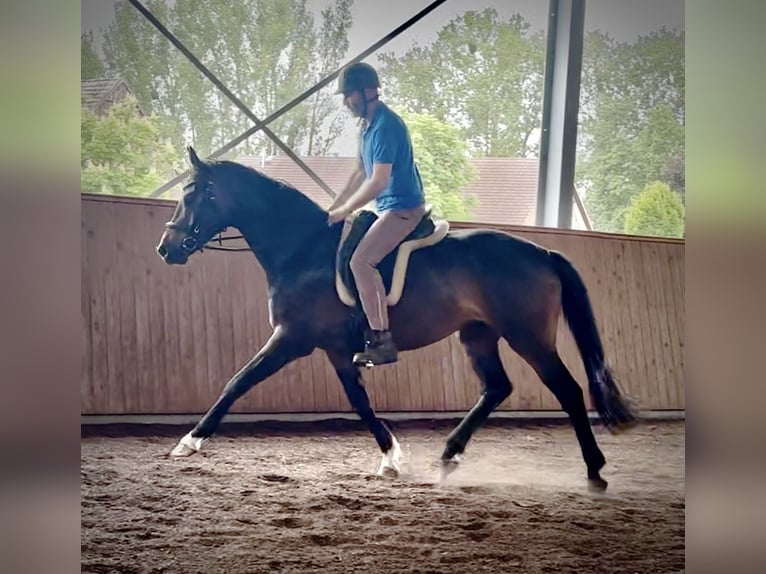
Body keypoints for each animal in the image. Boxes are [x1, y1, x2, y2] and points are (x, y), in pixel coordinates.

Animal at [156, 146, 637, 491]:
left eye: (194, 194)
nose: (166, 249)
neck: (302, 248)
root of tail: (542, 252)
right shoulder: (335, 349)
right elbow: (359, 401)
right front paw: (391, 458)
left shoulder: (293, 338)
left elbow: (239, 381)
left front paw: (189, 442)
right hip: (478, 335)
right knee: (497, 388)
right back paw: (448, 455)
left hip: (528, 337)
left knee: (568, 391)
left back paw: (594, 471)